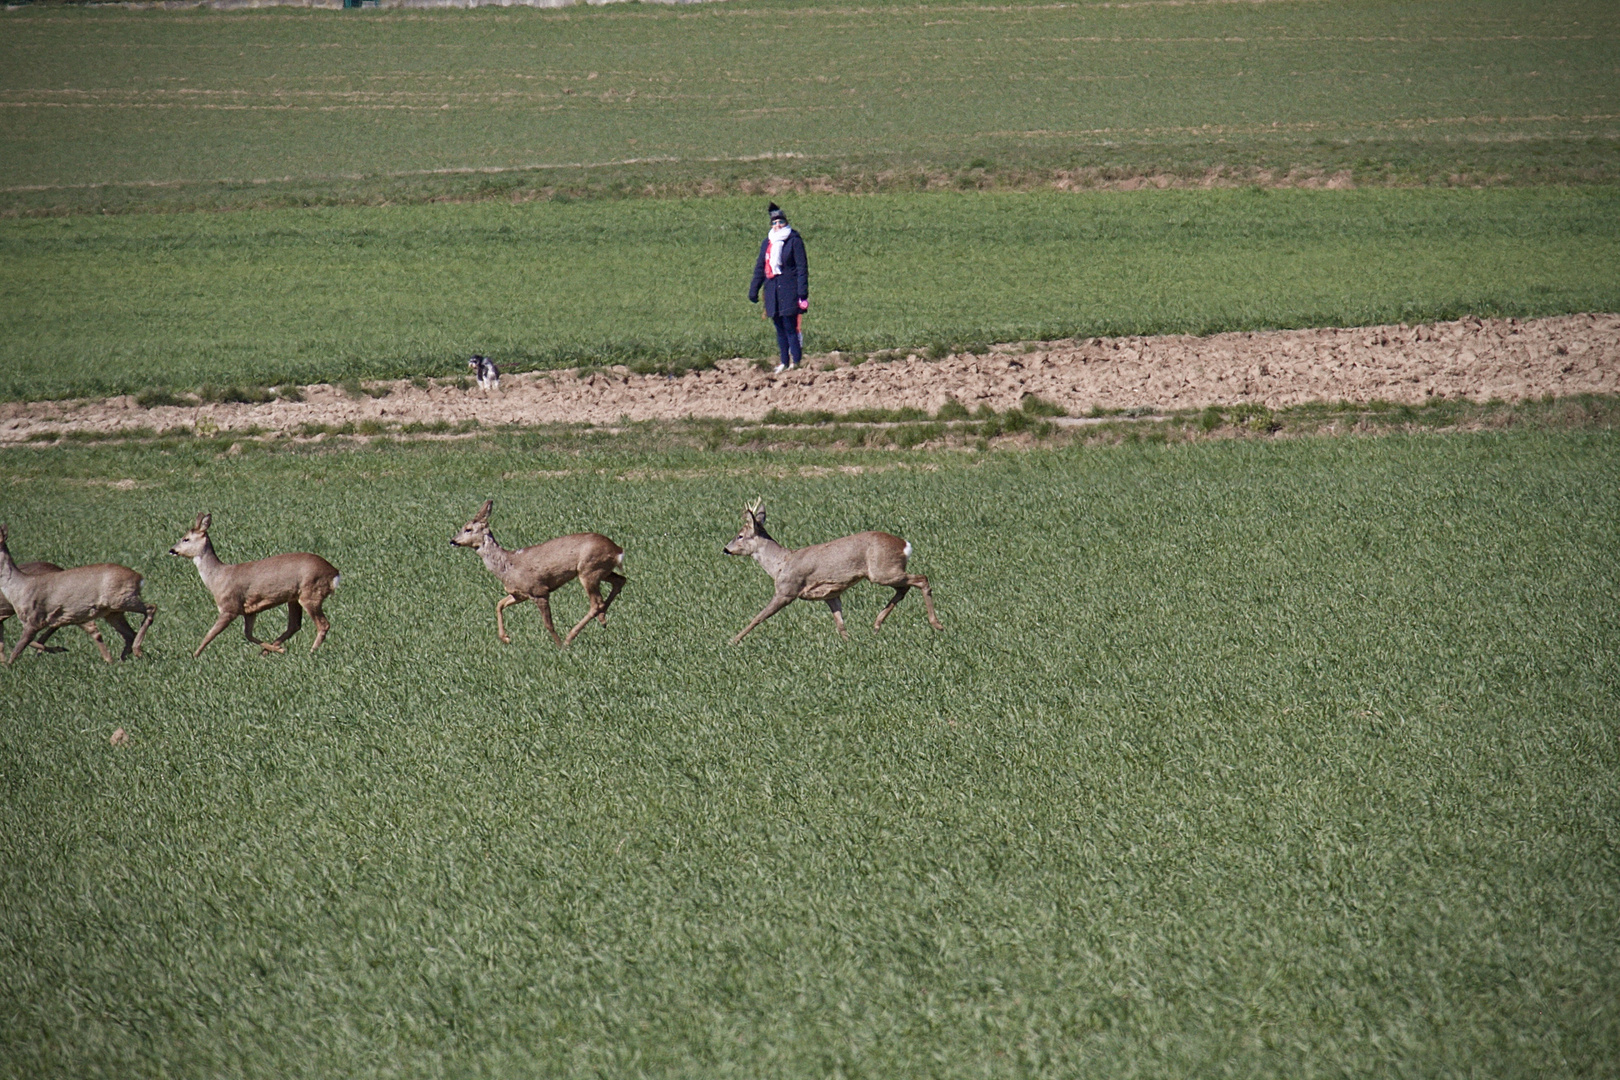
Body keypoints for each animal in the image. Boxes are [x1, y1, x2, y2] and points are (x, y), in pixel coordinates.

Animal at [0, 524, 156, 667]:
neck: (19, 588)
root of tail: (139, 577)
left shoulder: (35, 619)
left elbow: (17, 650)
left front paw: (9, 669)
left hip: (121, 599)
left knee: (151, 608)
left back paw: (135, 652)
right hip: (113, 612)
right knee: (129, 633)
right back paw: (121, 660)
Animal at [169, 514, 340, 660]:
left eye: (186, 539)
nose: (172, 550)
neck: (217, 578)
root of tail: (335, 573)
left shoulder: (229, 608)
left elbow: (209, 635)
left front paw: (194, 656)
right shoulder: (250, 611)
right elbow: (248, 634)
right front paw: (276, 650)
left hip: (310, 593)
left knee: (323, 624)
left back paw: (311, 652)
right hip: (294, 598)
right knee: (295, 625)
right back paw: (271, 651)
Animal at [450, 501, 625, 650]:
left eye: (468, 529)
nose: (452, 541)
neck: (507, 566)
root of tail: (618, 550)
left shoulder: (539, 591)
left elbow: (548, 624)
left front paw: (559, 647)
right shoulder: (520, 594)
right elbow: (499, 604)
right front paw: (506, 638)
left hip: (589, 571)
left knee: (596, 603)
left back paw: (569, 638)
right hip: (601, 570)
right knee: (620, 581)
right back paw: (602, 619)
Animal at [725, 501, 946, 647]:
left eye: (740, 535)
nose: (725, 549)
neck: (780, 564)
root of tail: (904, 545)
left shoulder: (787, 590)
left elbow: (757, 617)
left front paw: (733, 641)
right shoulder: (831, 594)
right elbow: (840, 624)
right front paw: (849, 644)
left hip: (883, 571)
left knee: (921, 579)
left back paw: (937, 624)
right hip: (885, 573)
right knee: (904, 588)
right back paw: (876, 625)